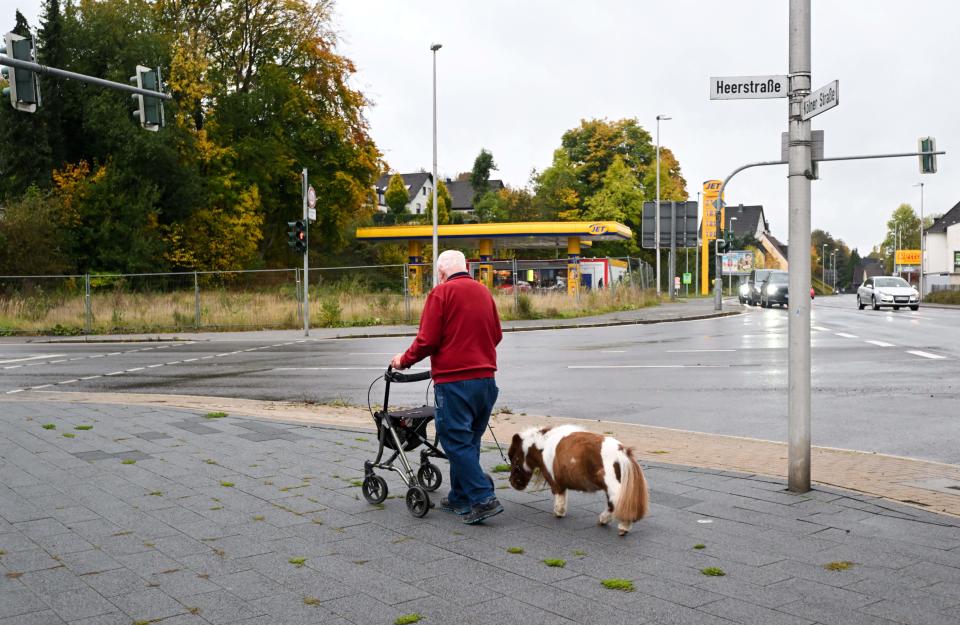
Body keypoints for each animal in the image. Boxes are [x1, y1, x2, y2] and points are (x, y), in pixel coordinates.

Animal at [506, 426, 648, 532]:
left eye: (512, 457)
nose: (513, 483)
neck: (543, 446)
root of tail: (623, 452)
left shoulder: (555, 481)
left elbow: (559, 497)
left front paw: (558, 513)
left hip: (613, 487)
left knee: (619, 504)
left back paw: (621, 526)